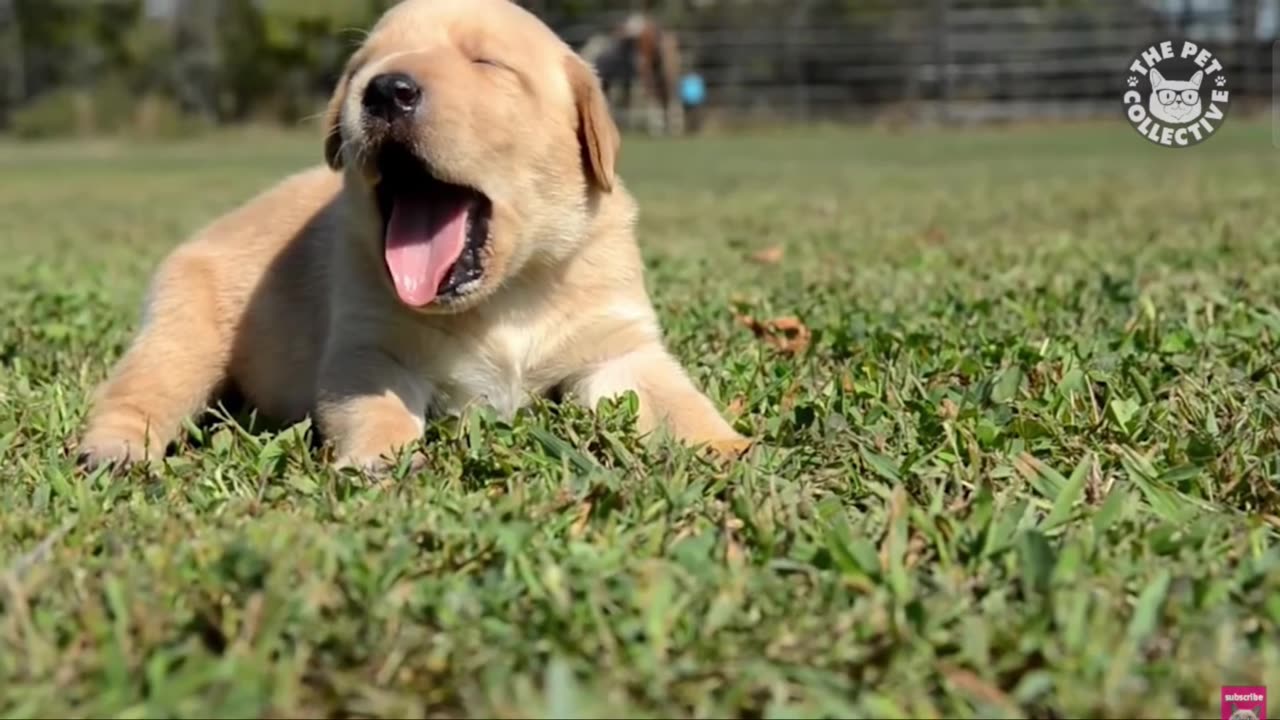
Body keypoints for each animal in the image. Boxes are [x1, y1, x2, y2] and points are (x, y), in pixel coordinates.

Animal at [74, 0, 747, 471]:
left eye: (486, 63)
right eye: (362, 68)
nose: (385, 89)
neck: (506, 296)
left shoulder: (619, 348)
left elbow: (678, 400)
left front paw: (730, 449)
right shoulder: (368, 349)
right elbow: (377, 407)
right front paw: (379, 460)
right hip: (184, 334)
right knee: (139, 391)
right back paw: (111, 450)